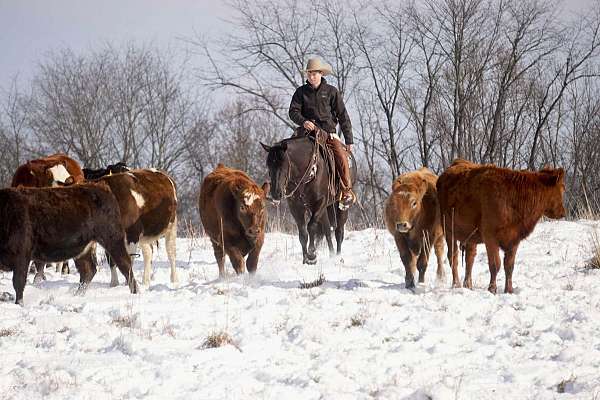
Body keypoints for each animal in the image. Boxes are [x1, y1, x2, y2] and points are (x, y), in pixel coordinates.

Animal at [0, 183, 137, 304]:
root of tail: (103, 187)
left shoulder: (21, 256)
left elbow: (18, 283)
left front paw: (19, 304)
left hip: (113, 240)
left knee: (126, 266)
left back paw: (135, 294)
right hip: (83, 250)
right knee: (88, 270)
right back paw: (76, 296)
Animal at [262, 134, 356, 264]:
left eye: (284, 164)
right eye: (268, 165)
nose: (276, 193)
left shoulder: (320, 202)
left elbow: (311, 226)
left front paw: (312, 255)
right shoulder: (296, 207)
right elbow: (303, 233)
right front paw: (305, 259)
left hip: (340, 206)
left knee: (339, 232)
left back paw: (337, 257)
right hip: (324, 209)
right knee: (327, 229)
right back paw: (331, 254)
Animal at [434, 159, 564, 294]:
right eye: (562, 188)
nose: (562, 213)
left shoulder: (514, 238)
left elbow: (509, 265)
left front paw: (509, 290)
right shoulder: (490, 237)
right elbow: (495, 264)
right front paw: (492, 289)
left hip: (470, 235)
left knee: (470, 258)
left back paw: (468, 285)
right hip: (449, 230)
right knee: (453, 257)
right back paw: (457, 284)